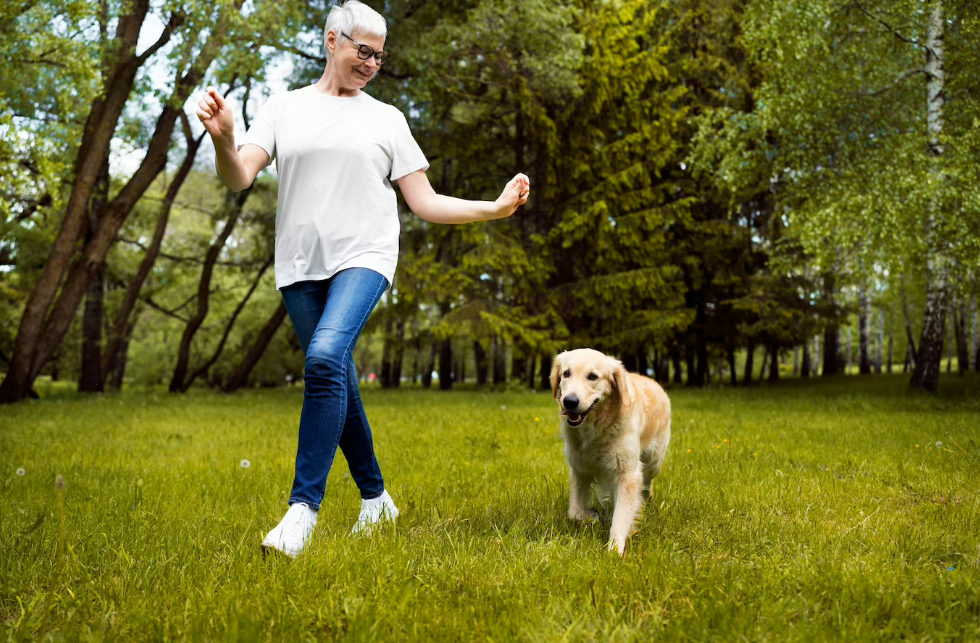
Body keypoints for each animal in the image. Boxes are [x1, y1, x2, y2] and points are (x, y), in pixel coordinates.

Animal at [552, 350, 672, 556]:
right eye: (566, 373)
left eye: (593, 376)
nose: (570, 401)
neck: (597, 428)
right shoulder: (579, 468)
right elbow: (574, 513)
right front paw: (590, 516)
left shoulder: (627, 475)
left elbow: (621, 517)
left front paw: (615, 550)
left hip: (654, 460)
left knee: (647, 482)